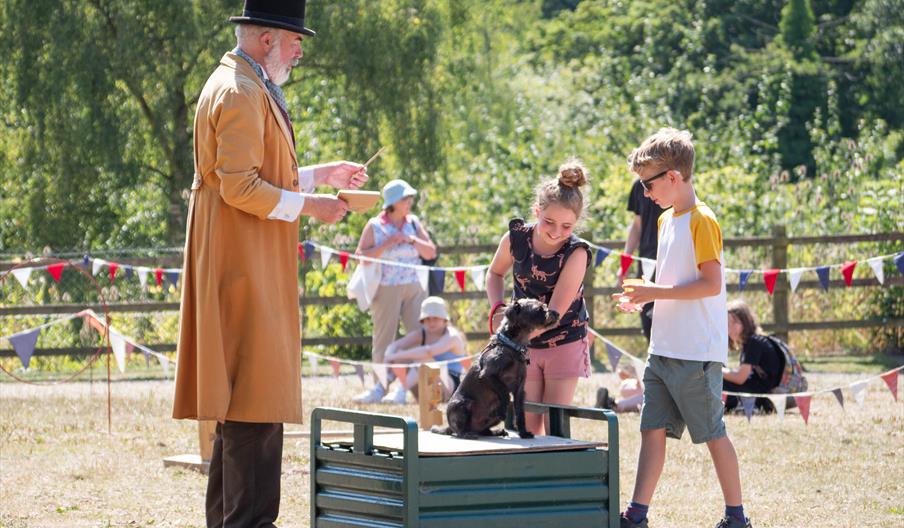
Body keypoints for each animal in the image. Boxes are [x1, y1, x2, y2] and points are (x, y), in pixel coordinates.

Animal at [432, 300, 556, 440]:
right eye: (539, 309)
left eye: (545, 306)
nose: (556, 313)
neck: (512, 346)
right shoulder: (487, 375)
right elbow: (504, 391)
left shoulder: (519, 389)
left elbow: (520, 413)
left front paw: (523, 433)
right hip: (461, 405)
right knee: (458, 431)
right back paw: (467, 433)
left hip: (490, 419)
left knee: (484, 430)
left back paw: (496, 431)